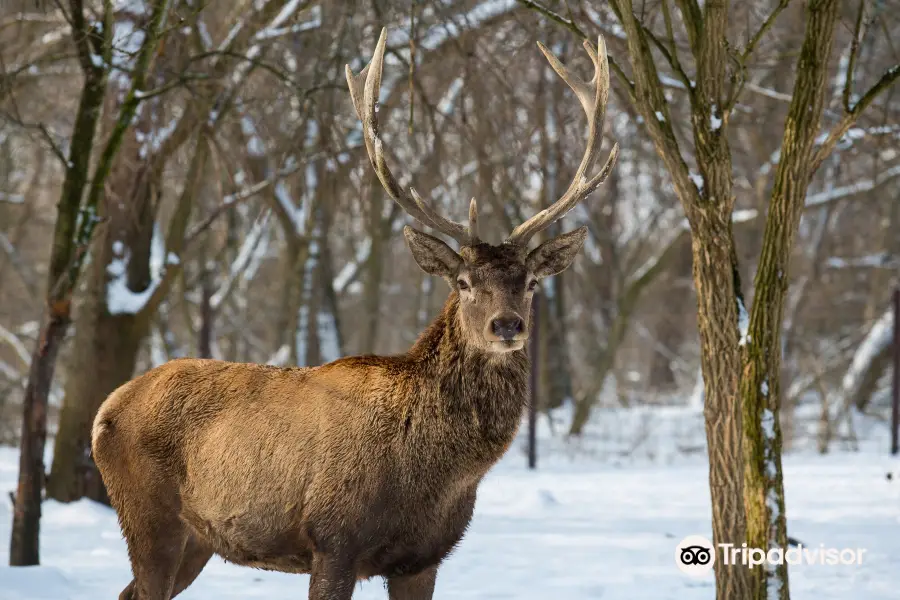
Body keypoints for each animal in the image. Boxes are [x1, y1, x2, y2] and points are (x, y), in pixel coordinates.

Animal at [91, 28, 620, 600]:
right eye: (463, 282)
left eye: (530, 282)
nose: (507, 325)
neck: (435, 477)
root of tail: (106, 408)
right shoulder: (333, 539)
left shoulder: (424, 557)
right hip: (148, 516)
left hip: (199, 539)